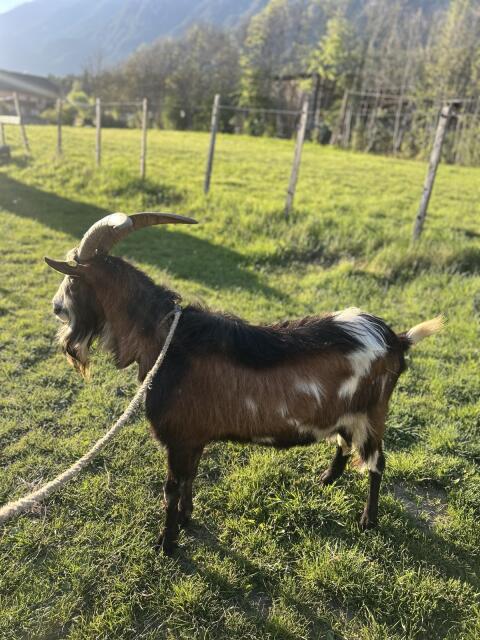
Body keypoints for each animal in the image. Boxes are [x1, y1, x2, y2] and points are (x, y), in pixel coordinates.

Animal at [45, 212, 443, 555]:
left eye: (72, 280)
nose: (56, 307)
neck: (166, 340)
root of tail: (396, 340)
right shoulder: (194, 436)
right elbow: (191, 478)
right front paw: (187, 520)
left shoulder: (178, 436)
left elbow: (172, 488)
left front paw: (166, 544)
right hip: (347, 412)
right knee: (344, 442)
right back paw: (327, 479)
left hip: (372, 414)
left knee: (377, 462)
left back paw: (367, 520)